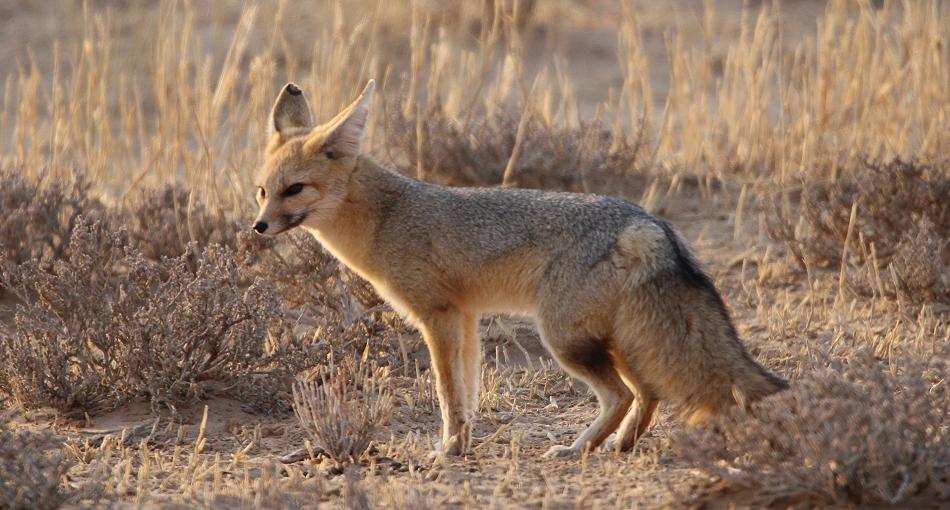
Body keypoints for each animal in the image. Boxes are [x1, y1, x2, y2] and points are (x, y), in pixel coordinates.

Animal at [251, 80, 788, 458]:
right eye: (262, 190)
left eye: (294, 190)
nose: (259, 226)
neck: (385, 217)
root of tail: (648, 220)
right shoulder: (465, 318)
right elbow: (466, 390)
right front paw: (461, 445)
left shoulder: (437, 317)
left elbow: (447, 392)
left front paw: (447, 450)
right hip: (611, 338)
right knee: (649, 392)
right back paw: (619, 445)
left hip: (564, 338)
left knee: (620, 394)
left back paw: (578, 449)